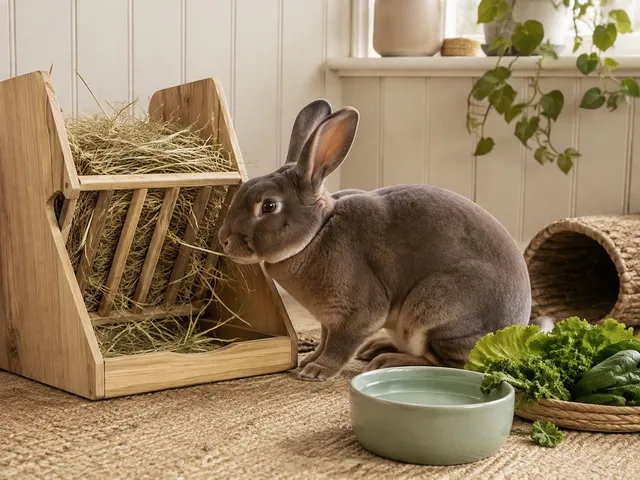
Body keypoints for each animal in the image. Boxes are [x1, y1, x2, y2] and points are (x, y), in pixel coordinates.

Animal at [217, 99, 532, 382]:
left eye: (268, 206)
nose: (224, 240)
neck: (317, 233)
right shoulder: (328, 320)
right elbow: (325, 339)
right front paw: (309, 359)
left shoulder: (357, 313)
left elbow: (340, 345)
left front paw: (316, 370)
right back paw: (376, 348)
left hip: (434, 309)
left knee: (451, 365)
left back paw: (386, 360)